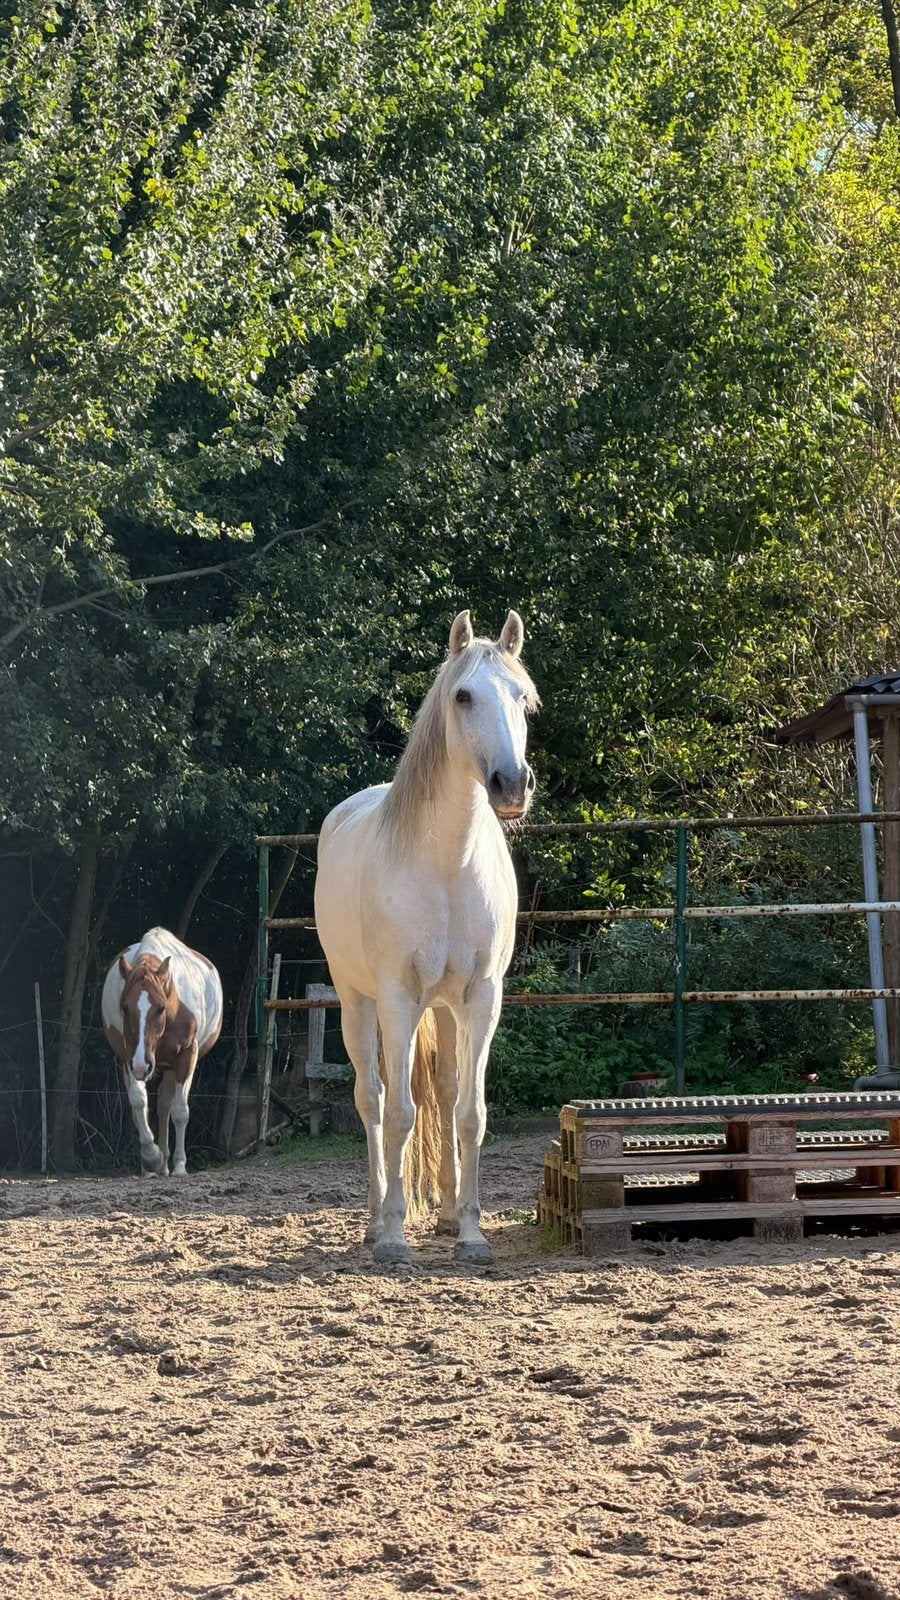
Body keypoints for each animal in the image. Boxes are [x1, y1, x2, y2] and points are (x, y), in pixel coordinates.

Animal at [101, 927, 223, 1176]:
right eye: (125, 1008)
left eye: (160, 1008)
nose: (142, 1066)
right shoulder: (129, 1056)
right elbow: (139, 1101)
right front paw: (151, 1158)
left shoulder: (187, 1055)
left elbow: (180, 1111)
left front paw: (180, 1167)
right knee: (156, 1104)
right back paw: (154, 1167)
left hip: (170, 1066)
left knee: (167, 1105)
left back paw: (170, 1165)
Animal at [314, 609, 539, 1264]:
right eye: (463, 696)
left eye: (524, 699)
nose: (511, 784)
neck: (447, 865)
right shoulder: (397, 999)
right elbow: (398, 1115)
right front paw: (392, 1237)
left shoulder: (482, 999)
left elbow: (469, 1113)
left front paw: (472, 1235)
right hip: (358, 1004)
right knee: (371, 1098)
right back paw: (373, 1220)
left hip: (442, 1009)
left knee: (441, 1094)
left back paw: (441, 1216)